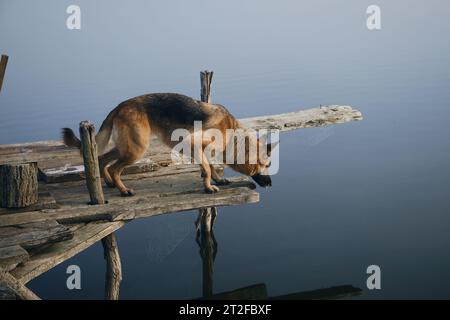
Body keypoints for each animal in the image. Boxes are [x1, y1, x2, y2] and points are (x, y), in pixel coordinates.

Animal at [61, 93, 276, 195]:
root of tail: (120, 106)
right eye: (266, 165)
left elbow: (210, 166)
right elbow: (207, 168)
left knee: (102, 159)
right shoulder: (193, 143)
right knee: (114, 168)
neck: (231, 133)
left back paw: (108, 182)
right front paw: (208, 187)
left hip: (127, 147)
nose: (271, 184)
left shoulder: (200, 150)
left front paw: (217, 179)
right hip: (136, 149)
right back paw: (123, 190)